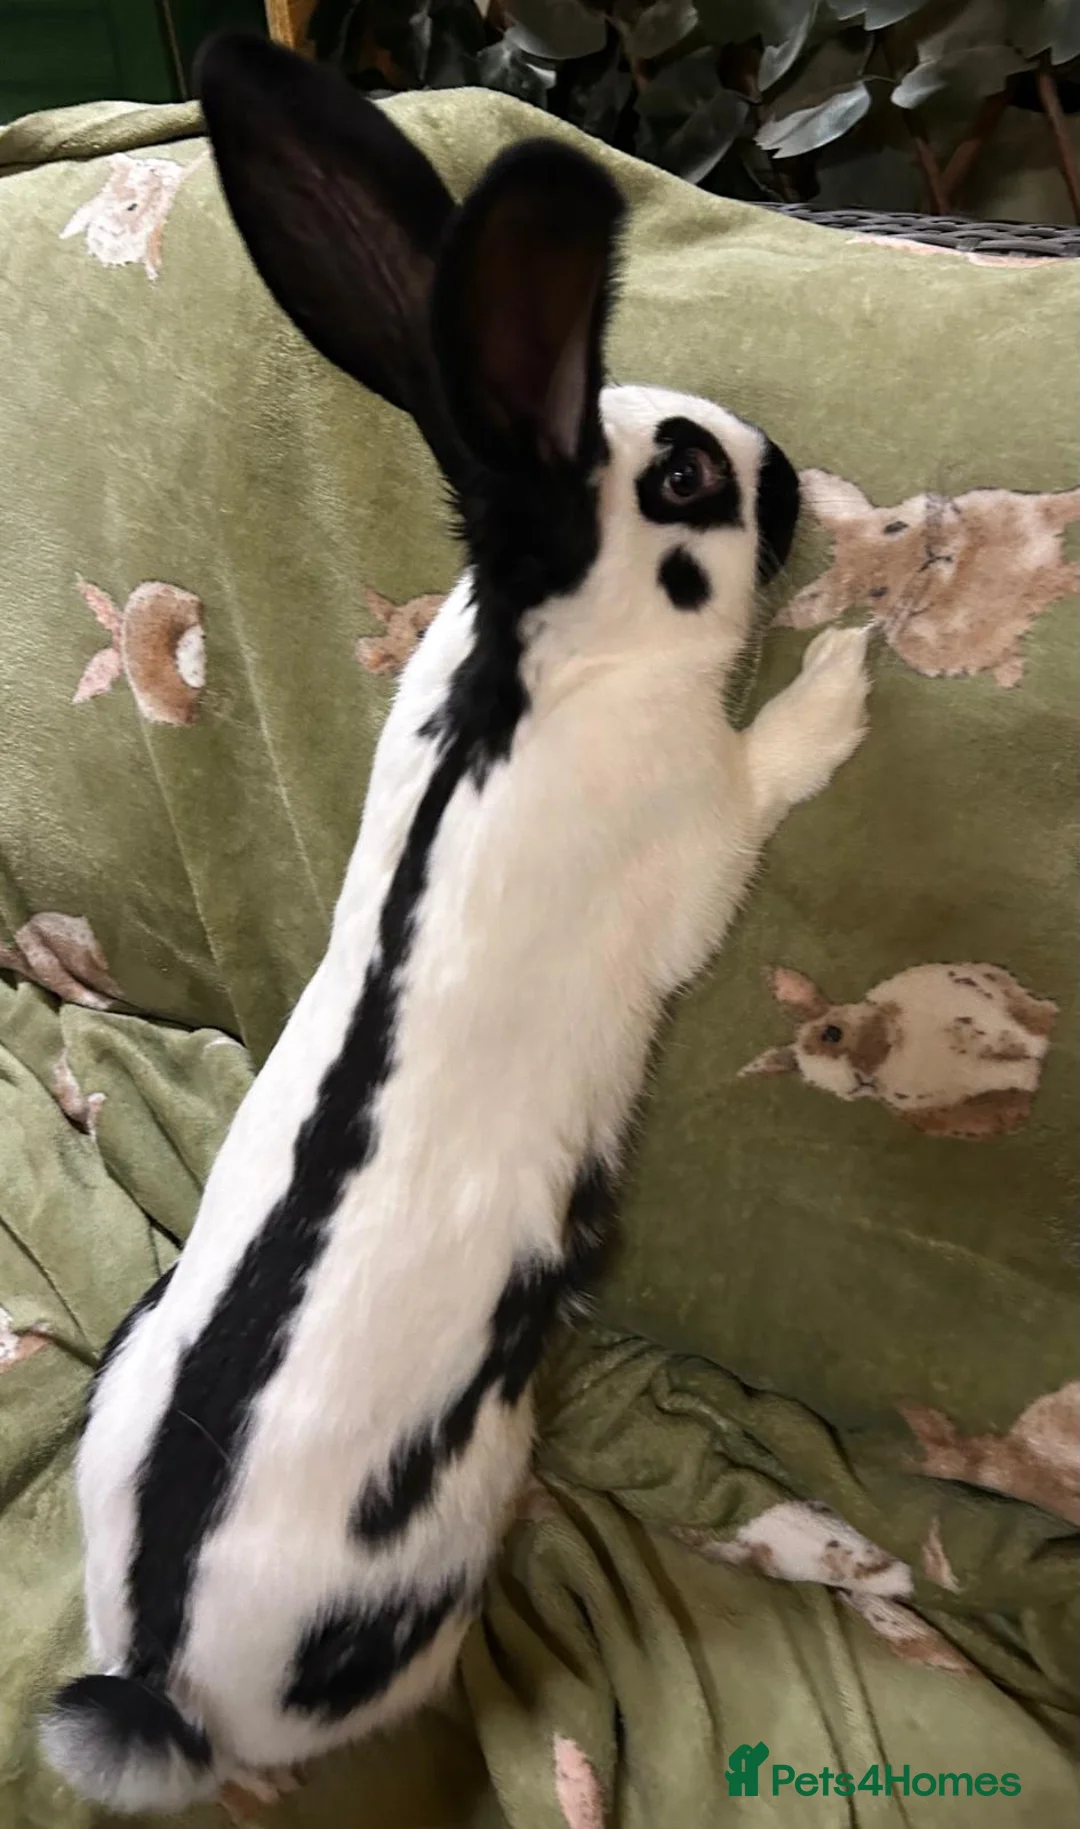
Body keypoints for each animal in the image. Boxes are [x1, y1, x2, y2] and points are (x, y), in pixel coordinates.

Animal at [41, 32, 873, 1815]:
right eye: (687, 476)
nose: (791, 472)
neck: (540, 661)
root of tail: (159, 1679)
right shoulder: (697, 830)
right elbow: (770, 770)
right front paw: (844, 678)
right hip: (423, 1569)